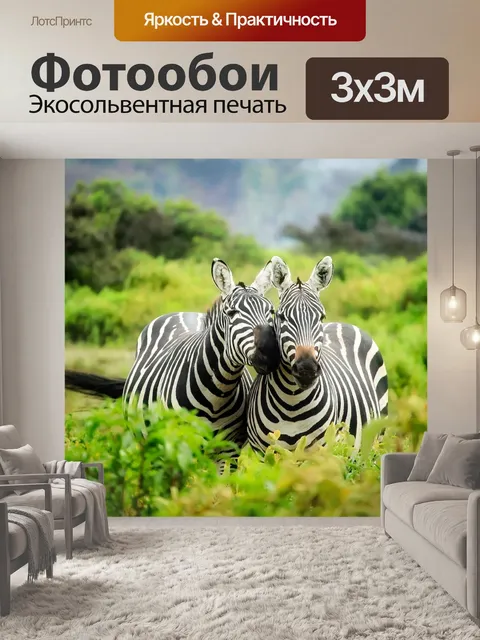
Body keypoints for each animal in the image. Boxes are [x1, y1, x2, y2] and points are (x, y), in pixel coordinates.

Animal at [66, 258, 281, 449]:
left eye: (271, 311)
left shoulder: (228, 450)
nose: (270, 353)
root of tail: (186, 313)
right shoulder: (178, 443)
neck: (218, 393)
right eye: (232, 313)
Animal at [247, 255, 388, 453]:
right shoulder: (263, 452)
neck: (292, 404)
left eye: (321, 317)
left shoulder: (320, 451)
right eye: (281, 317)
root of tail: (343, 323)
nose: (307, 369)